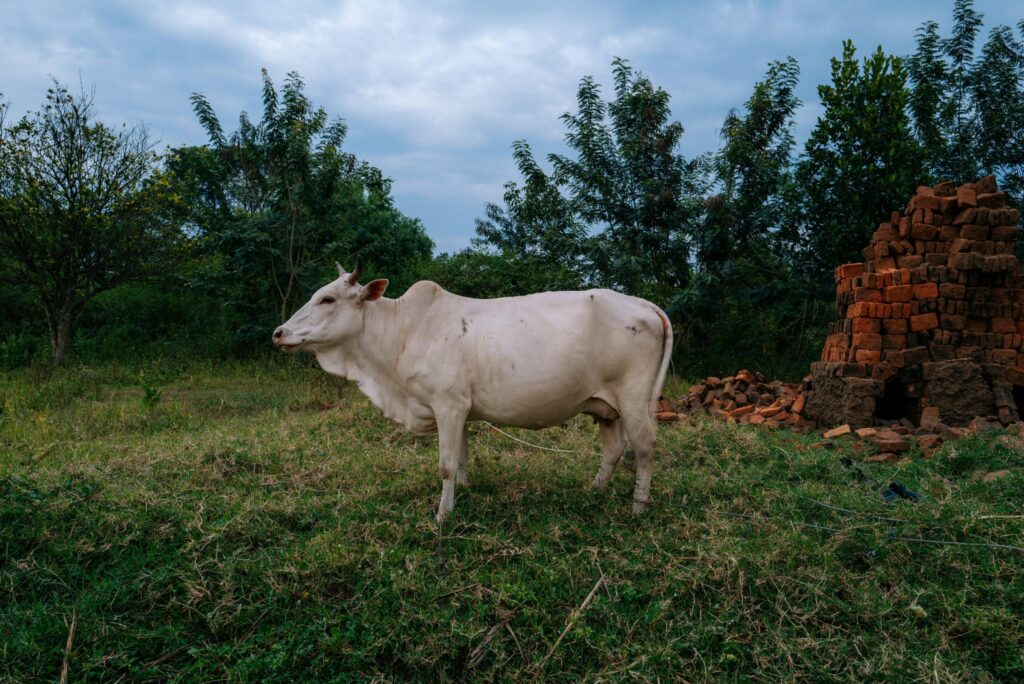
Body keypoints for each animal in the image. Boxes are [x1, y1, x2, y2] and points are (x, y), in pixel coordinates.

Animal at [273, 263, 673, 523]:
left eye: (327, 299)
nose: (279, 332)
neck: (402, 334)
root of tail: (643, 304)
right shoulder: (460, 411)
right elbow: (462, 460)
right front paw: (461, 495)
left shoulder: (448, 405)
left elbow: (446, 464)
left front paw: (442, 515)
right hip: (606, 406)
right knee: (614, 449)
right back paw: (594, 491)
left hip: (634, 400)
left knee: (644, 448)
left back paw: (638, 507)